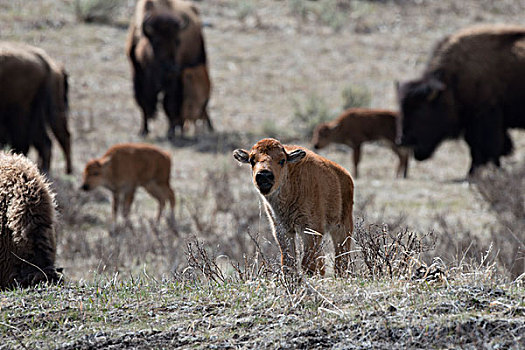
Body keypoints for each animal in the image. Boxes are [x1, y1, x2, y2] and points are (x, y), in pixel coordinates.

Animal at [125, 0, 209, 139]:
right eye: (157, 42)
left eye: (177, 41)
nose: (172, 68)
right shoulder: (138, 78)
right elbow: (143, 103)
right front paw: (143, 131)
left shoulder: (172, 82)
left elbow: (169, 103)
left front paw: (171, 131)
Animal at [232, 138, 352, 278]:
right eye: (252, 160)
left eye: (282, 160)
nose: (264, 175)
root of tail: (346, 175)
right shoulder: (283, 231)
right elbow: (288, 262)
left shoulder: (310, 230)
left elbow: (307, 263)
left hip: (342, 229)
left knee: (341, 258)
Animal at [398, 25, 524, 176]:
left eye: (421, 110)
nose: (403, 140)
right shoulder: (472, 123)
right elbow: (477, 146)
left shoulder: (486, 117)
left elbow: (488, 146)